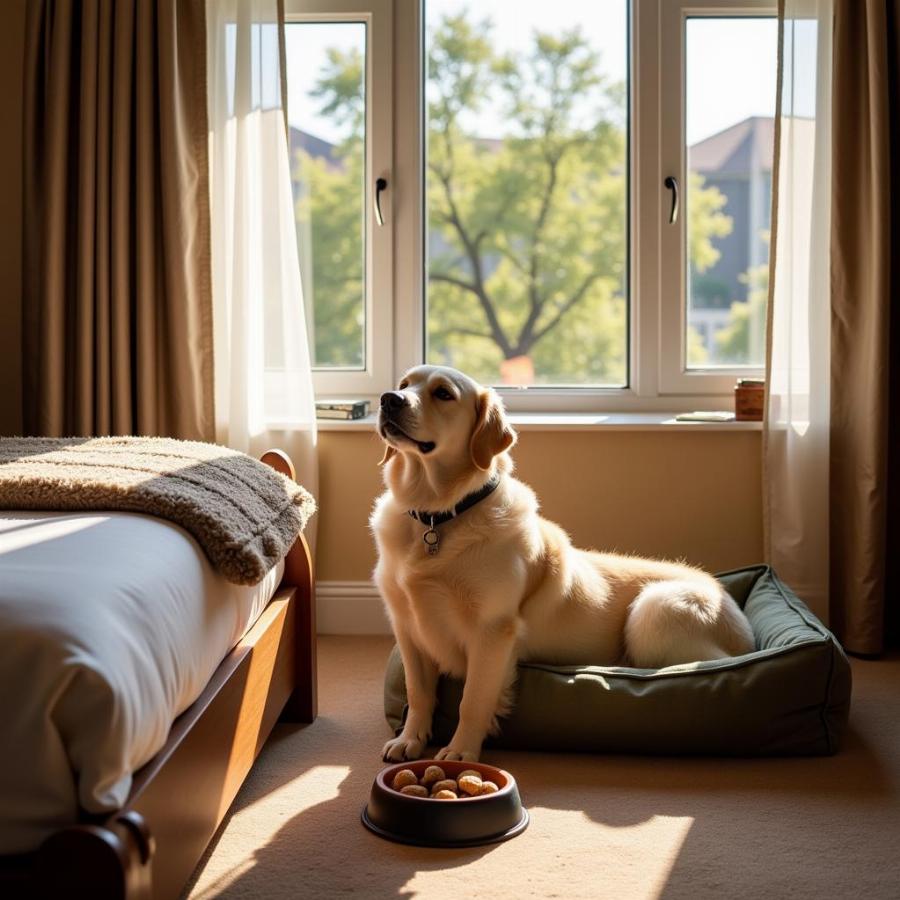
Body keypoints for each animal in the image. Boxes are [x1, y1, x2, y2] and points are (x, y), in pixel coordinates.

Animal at [370, 364, 756, 760]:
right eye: (404, 384)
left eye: (443, 394)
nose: (389, 399)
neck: (437, 517)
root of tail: (730, 602)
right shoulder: (407, 625)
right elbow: (418, 692)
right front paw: (410, 739)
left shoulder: (492, 630)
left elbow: (472, 700)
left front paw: (460, 752)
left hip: (654, 610)